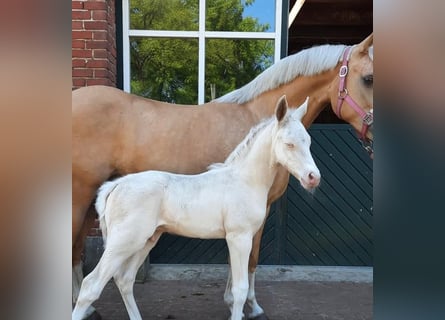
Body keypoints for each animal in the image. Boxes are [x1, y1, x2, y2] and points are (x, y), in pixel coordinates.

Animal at [72, 96, 320, 320]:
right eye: (289, 144)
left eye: (308, 141)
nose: (313, 177)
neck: (245, 179)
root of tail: (115, 185)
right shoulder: (239, 237)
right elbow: (239, 290)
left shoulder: (238, 238)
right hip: (124, 241)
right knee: (91, 286)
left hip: (146, 240)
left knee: (125, 280)